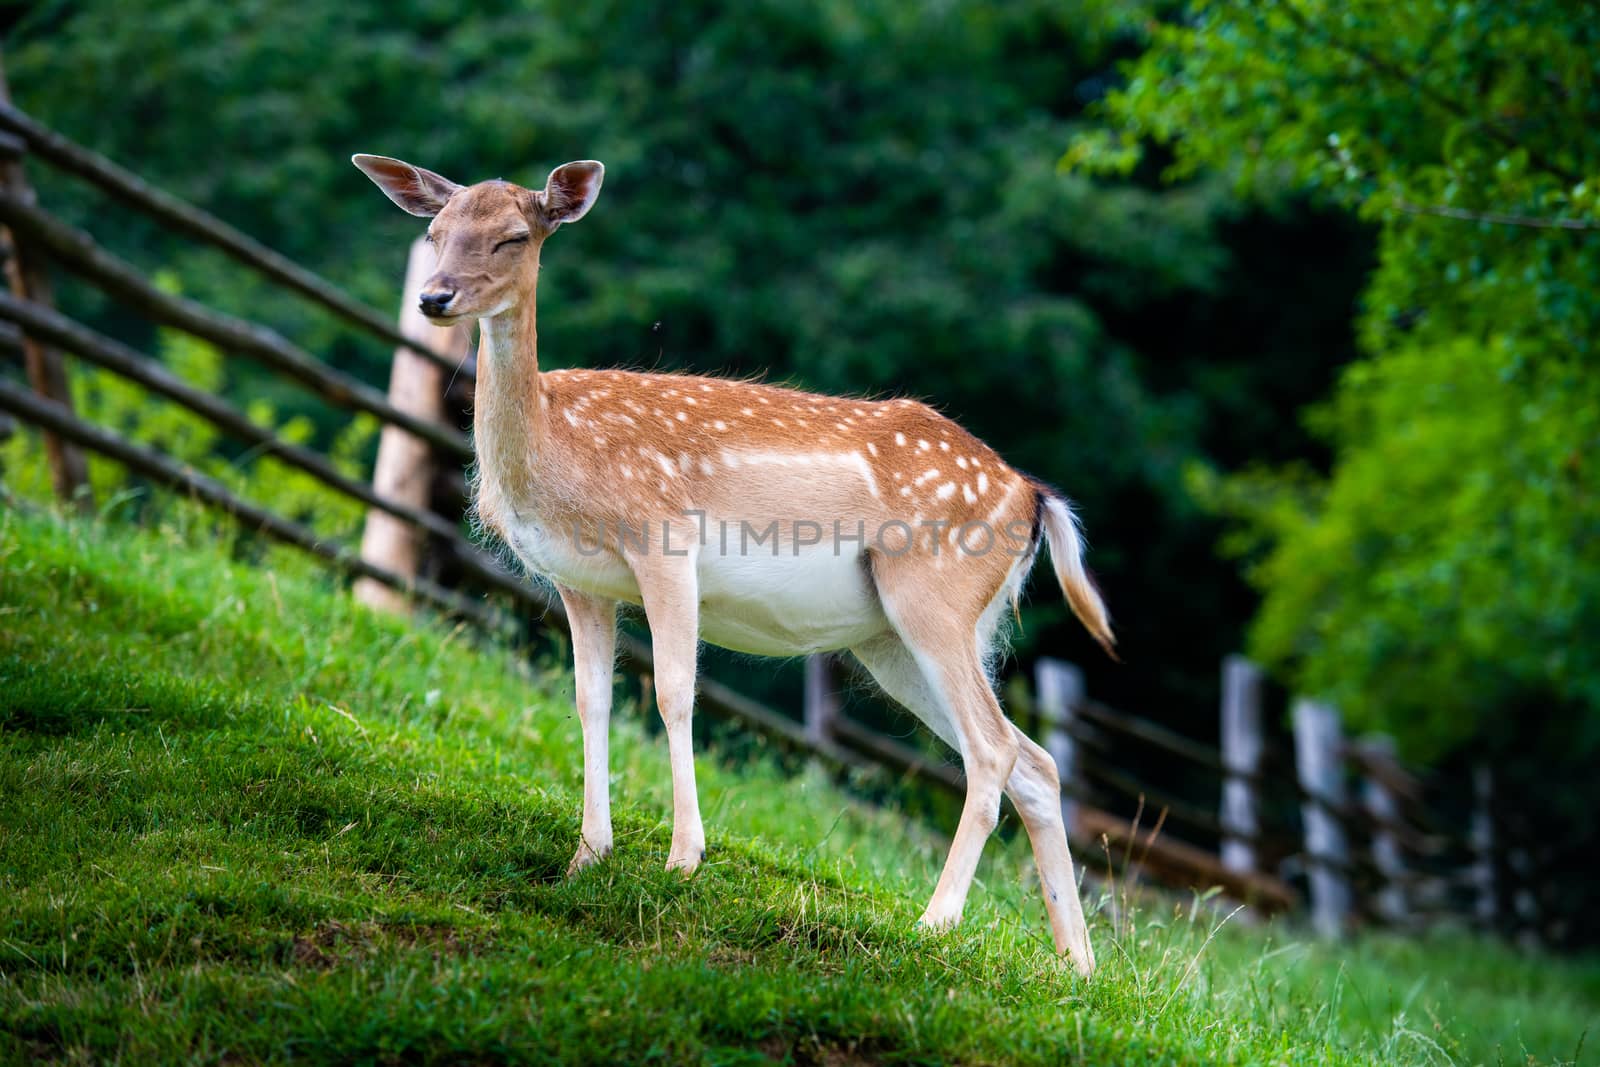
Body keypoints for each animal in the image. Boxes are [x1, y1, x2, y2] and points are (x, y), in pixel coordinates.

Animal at [356, 150, 1120, 979]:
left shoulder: (663, 538)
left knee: (993, 749)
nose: (434, 296)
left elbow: (672, 693)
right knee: (1035, 762)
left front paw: (683, 858)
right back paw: (1077, 965)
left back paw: (936, 922)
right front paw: (587, 855)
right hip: (895, 638)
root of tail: (1033, 496)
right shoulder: (579, 581)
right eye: (435, 231)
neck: (561, 454)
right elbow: (591, 700)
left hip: (936, 595)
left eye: (513, 236)